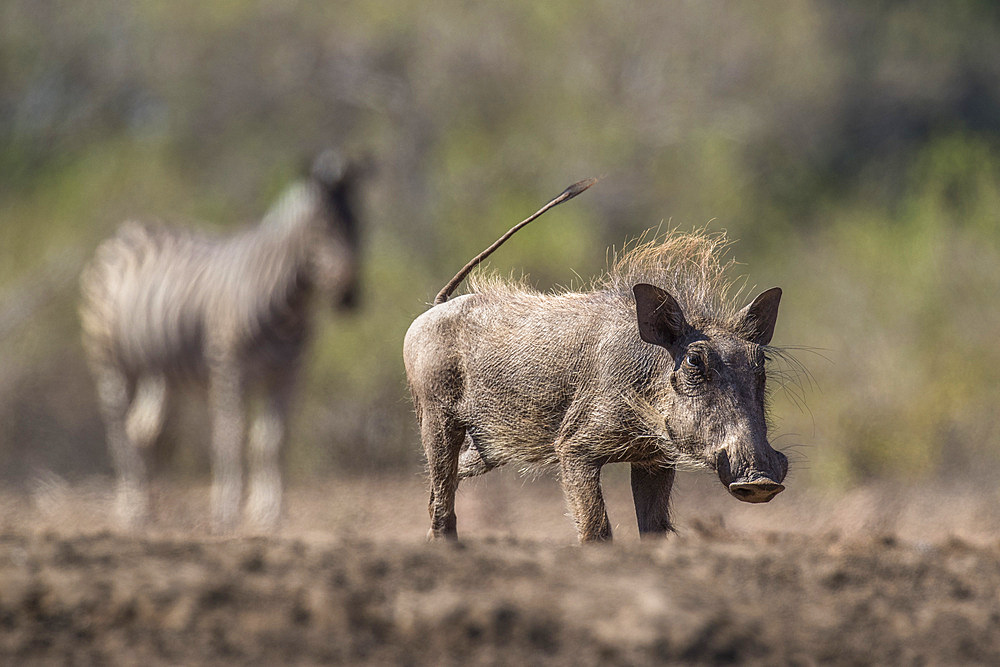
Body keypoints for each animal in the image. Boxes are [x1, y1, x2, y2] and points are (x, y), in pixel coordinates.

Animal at [81, 151, 364, 532]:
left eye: (360, 224)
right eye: (320, 227)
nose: (350, 298)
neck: (289, 307)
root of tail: (127, 229)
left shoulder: (289, 373)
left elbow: (270, 441)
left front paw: (270, 514)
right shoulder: (230, 370)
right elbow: (230, 437)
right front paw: (227, 512)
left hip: (158, 371)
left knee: (143, 430)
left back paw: (154, 509)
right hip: (109, 362)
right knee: (119, 431)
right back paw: (132, 511)